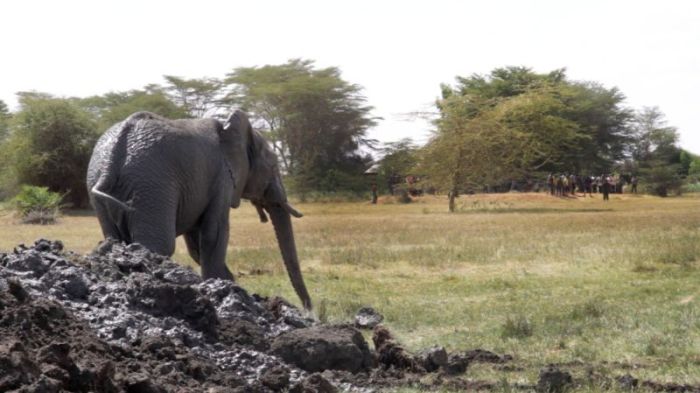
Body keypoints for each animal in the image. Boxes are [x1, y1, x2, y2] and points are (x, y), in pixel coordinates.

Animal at [85, 110, 312, 310]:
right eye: (273, 167)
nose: (309, 309)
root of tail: (113, 155)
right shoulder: (223, 177)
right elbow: (214, 233)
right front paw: (223, 287)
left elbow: (196, 244)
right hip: (151, 185)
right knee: (159, 244)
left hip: (98, 185)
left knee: (114, 238)